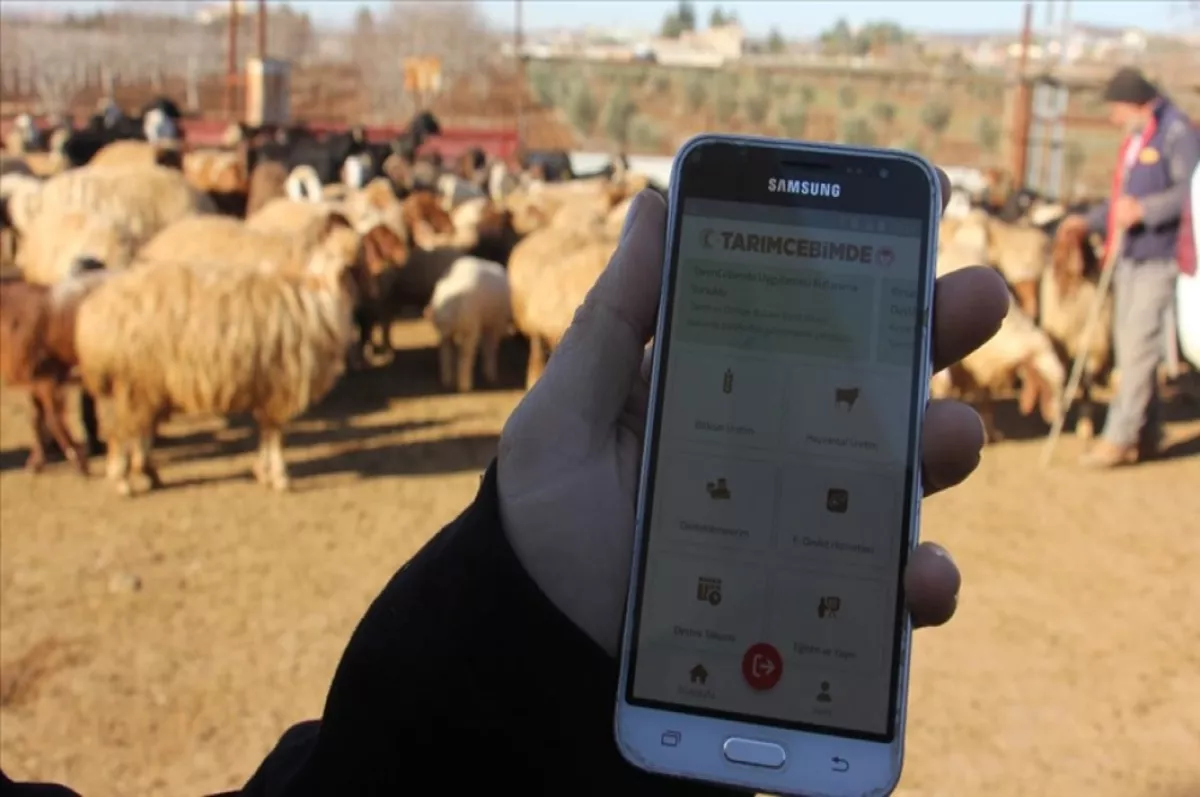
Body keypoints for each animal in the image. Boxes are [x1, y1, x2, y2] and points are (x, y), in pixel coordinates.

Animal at [0, 261, 108, 472]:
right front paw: (36, 462)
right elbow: (36, 418)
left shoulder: (47, 379)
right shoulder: (34, 381)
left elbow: (53, 418)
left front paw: (78, 460)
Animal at [75, 211, 364, 499]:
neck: (313, 295)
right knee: (121, 434)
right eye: (347, 258)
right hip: (132, 382)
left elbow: (267, 431)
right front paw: (279, 476)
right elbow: (275, 434)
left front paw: (263, 471)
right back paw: (122, 481)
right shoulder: (280, 385)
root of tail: (92, 314)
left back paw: (144, 473)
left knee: (132, 431)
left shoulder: (267, 388)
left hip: (138, 386)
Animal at [427, 255, 511, 391]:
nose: (429, 312)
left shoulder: (471, 328)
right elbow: (447, 353)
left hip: (496, 320)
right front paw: (447, 382)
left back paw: (490, 375)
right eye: (439, 322)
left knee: (490, 345)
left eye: (451, 306)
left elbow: (465, 353)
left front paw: (464, 387)